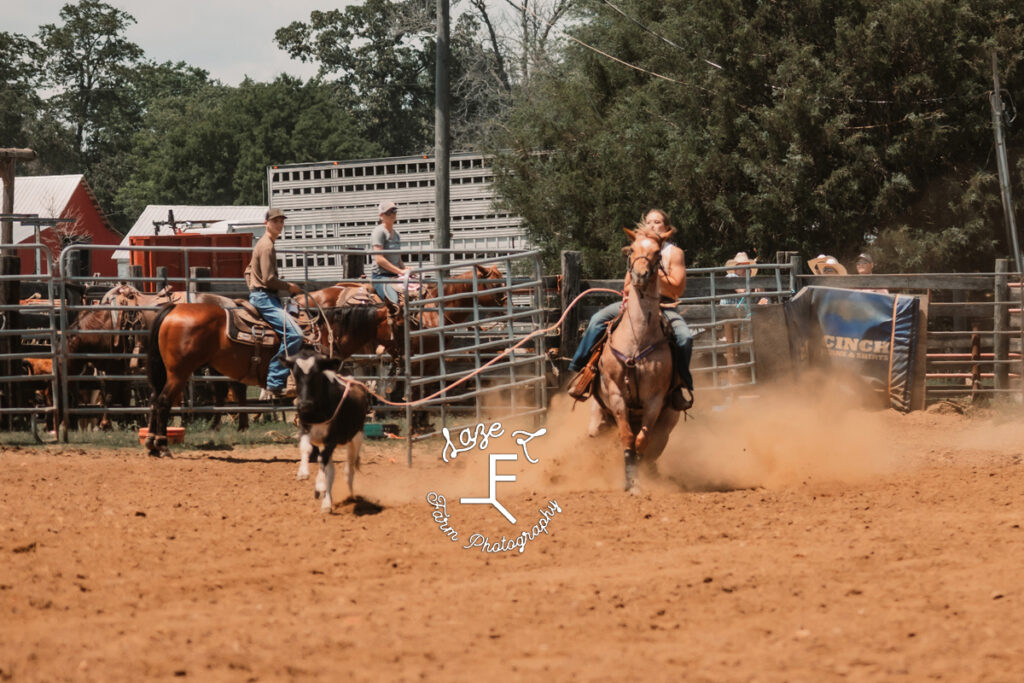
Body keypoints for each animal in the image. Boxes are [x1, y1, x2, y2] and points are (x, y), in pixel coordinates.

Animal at [144, 290, 399, 456]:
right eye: (398, 324)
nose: (401, 353)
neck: (326, 332)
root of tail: (174, 308)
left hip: (167, 373)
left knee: (155, 399)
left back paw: (151, 444)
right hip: (179, 372)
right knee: (163, 401)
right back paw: (163, 446)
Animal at [282, 348, 370, 511]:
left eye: (316, 374)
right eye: (296, 375)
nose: (304, 404)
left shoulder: (332, 439)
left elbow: (322, 460)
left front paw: (320, 485)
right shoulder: (305, 429)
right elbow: (306, 449)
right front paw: (303, 473)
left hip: (356, 437)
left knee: (349, 469)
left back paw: (349, 495)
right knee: (330, 470)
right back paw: (327, 502)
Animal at [593, 228, 679, 491]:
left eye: (657, 252)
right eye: (632, 249)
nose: (640, 275)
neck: (637, 340)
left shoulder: (654, 399)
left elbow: (641, 441)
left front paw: (637, 479)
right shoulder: (616, 393)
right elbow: (628, 438)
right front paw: (630, 482)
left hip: (668, 423)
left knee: (654, 448)